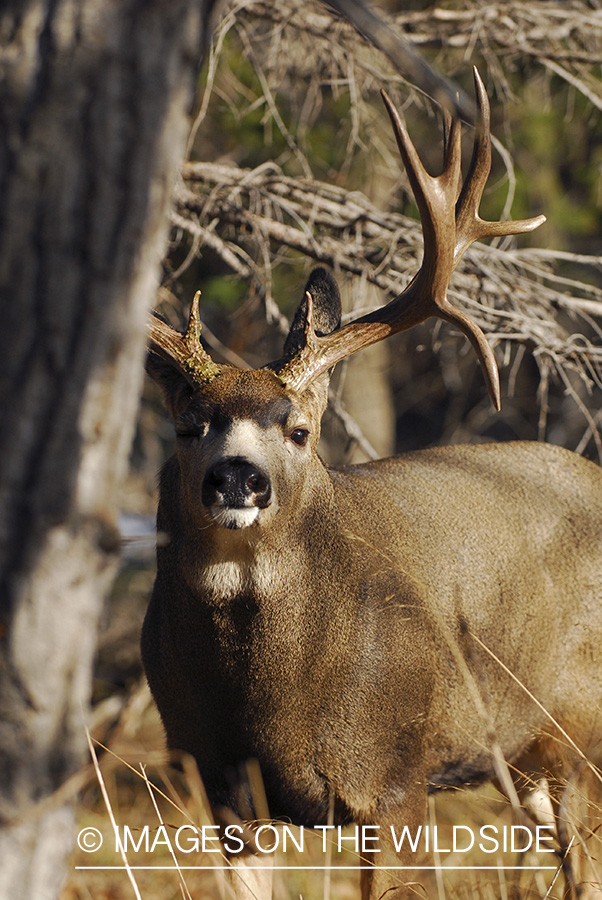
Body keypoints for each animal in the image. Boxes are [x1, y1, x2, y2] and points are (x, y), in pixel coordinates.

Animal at [142, 69, 602, 899]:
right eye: (189, 426)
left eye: (298, 429)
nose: (237, 478)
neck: (268, 696)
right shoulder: (219, 782)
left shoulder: (394, 774)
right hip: (526, 760)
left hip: (581, 730)